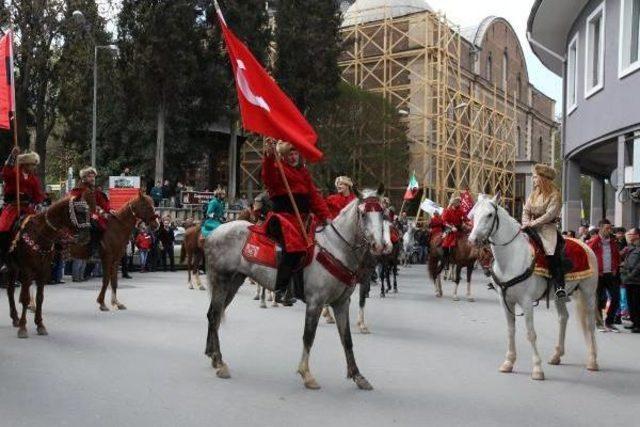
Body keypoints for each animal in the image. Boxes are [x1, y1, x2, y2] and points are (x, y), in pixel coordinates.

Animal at [4, 196, 91, 340]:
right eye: (78, 212)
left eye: (87, 212)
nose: (86, 237)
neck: (40, 234)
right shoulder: (27, 271)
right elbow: (25, 298)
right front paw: (23, 327)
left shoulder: (43, 271)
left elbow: (40, 298)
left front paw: (40, 325)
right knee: (11, 290)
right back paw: (17, 319)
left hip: (14, 268)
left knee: (10, 290)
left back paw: (15, 318)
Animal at [202, 189, 390, 390]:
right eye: (363, 214)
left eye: (382, 214)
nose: (379, 246)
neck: (336, 250)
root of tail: (213, 233)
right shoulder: (316, 302)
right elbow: (309, 336)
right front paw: (306, 374)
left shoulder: (341, 303)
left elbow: (346, 339)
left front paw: (358, 376)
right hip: (221, 280)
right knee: (214, 315)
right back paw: (219, 362)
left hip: (234, 282)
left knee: (215, 315)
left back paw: (213, 356)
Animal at [464, 194, 600, 382]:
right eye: (473, 214)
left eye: (490, 214)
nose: (472, 240)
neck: (512, 257)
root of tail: (586, 246)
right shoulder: (505, 301)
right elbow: (511, 330)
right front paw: (508, 362)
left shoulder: (526, 302)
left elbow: (530, 333)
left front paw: (537, 369)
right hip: (560, 296)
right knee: (563, 318)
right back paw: (557, 355)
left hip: (588, 294)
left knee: (590, 324)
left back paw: (592, 360)